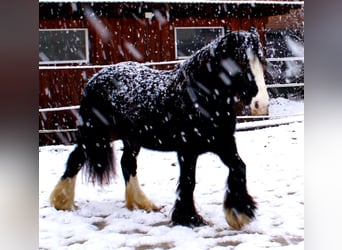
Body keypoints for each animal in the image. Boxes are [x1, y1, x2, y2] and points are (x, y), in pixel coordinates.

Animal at [50, 27, 264, 230]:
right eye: (239, 61)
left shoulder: (224, 143)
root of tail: (94, 79)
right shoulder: (187, 150)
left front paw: (239, 214)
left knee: (127, 164)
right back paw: (61, 201)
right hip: (94, 134)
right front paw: (189, 218)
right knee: (76, 159)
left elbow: (239, 168)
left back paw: (141, 203)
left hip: (130, 139)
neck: (200, 97)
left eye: (260, 60)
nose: (259, 102)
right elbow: (188, 181)